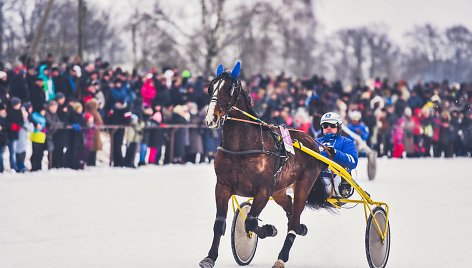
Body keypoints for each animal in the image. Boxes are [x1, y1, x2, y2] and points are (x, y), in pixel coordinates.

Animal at [199, 61, 328, 268]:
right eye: (212, 87)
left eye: (230, 88)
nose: (211, 117)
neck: (243, 147)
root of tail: (312, 141)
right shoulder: (223, 186)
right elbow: (219, 223)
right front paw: (210, 257)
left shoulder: (264, 190)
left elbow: (250, 222)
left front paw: (268, 229)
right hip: (280, 189)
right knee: (290, 207)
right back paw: (301, 227)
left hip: (304, 184)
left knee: (293, 220)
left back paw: (282, 256)